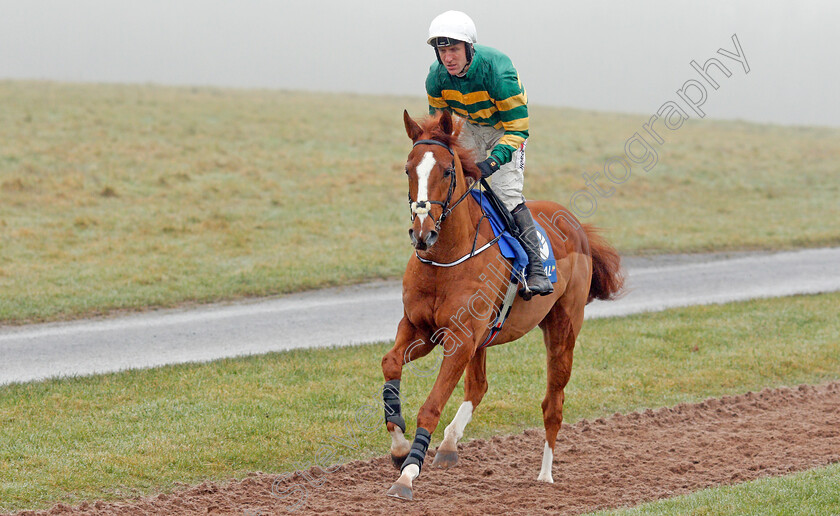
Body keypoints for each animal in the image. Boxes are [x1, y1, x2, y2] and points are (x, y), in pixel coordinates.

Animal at [380, 109, 624, 500]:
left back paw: (545, 475)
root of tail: (576, 224)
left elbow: (431, 407)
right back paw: (449, 446)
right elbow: (390, 363)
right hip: (483, 339)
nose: (422, 233)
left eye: (446, 171)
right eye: (408, 169)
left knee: (553, 405)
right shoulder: (420, 328)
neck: (445, 258)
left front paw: (408, 474)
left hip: (562, 329)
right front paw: (400, 448)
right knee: (478, 387)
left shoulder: (460, 339)